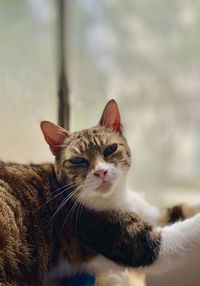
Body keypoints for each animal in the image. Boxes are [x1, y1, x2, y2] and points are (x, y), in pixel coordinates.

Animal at [0, 99, 199, 286]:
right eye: (77, 160)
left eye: (111, 149)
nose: (101, 171)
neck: (117, 196)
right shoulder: (134, 243)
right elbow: (180, 234)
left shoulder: (153, 213)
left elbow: (178, 210)